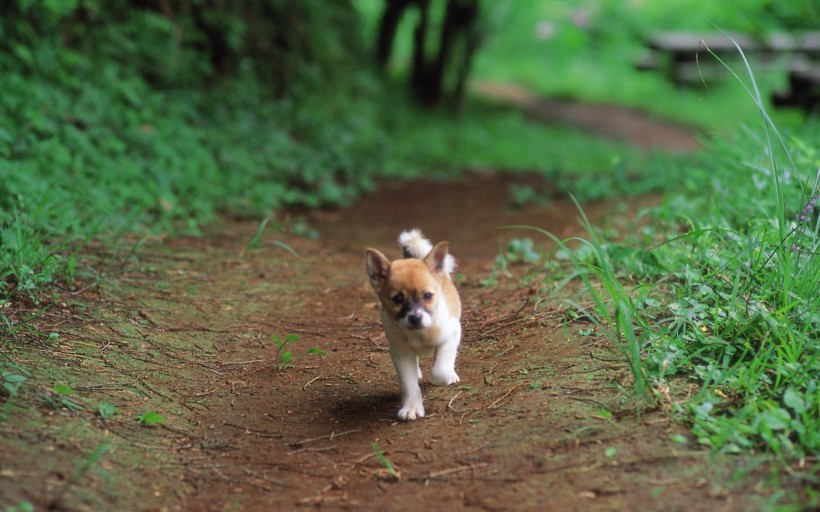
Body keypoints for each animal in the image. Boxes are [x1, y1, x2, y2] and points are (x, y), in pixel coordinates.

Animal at [366, 230, 462, 422]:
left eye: (427, 295)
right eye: (397, 299)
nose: (415, 318)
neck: (419, 334)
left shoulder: (453, 333)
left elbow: (439, 370)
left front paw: (446, 375)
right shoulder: (400, 353)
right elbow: (408, 384)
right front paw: (411, 407)